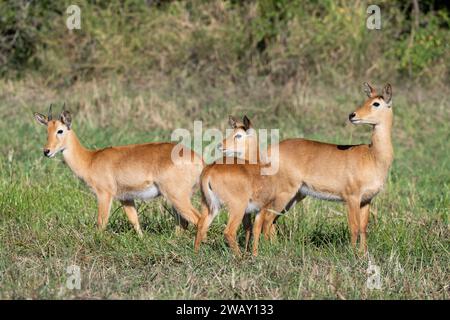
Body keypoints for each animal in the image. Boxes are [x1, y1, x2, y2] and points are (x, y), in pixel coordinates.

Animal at [33, 104, 204, 235]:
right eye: (47, 131)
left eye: (60, 130)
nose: (46, 151)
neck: (90, 160)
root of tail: (200, 160)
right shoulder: (125, 197)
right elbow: (135, 221)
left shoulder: (104, 194)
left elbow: (101, 222)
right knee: (183, 222)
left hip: (177, 196)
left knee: (198, 219)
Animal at [262, 84, 396, 254]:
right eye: (366, 100)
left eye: (376, 103)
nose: (352, 115)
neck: (372, 156)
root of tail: (268, 150)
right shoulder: (351, 197)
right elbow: (354, 227)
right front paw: (352, 254)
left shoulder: (366, 199)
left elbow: (363, 227)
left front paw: (363, 253)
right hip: (284, 192)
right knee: (267, 218)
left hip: (295, 196)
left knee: (271, 220)